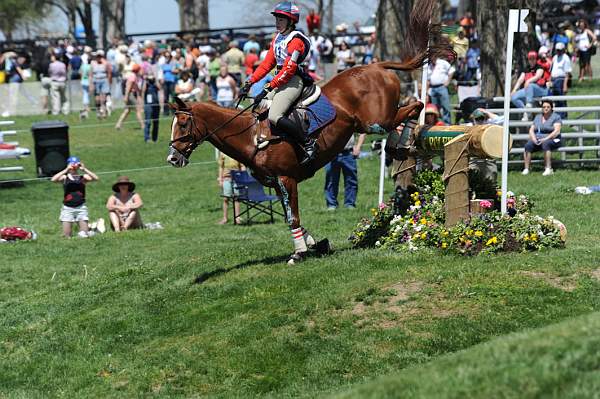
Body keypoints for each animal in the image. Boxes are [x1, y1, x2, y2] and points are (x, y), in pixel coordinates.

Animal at [166, 2, 448, 266]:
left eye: (183, 124)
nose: (172, 159)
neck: (251, 137)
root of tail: (376, 65)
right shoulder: (276, 184)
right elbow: (291, 218)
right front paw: (315, 244)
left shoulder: (286, 178)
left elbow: (293, 218)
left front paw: (299, 253)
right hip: (368, 123)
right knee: (411, 108)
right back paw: (398, 145)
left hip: (377, 121)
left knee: (415, 106)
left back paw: (400, 143)